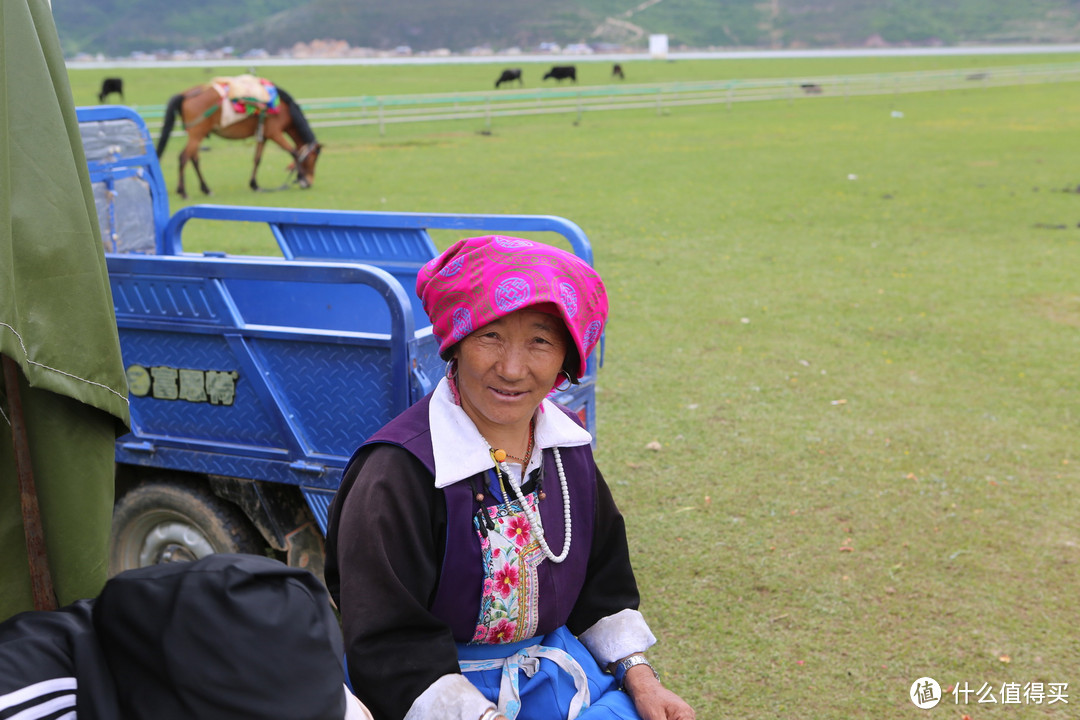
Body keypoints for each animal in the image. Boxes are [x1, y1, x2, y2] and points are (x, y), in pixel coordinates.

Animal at [154, 78, 319, 199]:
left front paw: (254, 185)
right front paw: (302, 179)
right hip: (196, 135)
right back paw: (183, 192)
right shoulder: (275, 134)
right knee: (184, 157)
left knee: (193, 159)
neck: (283, 108)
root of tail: (186, 94)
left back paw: (205, 189)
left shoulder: (263, 136)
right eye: (312, 159)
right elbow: (294, 153)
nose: (311, 182)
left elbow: (257, 159)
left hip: (196, 136)